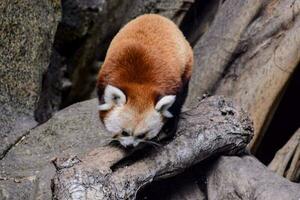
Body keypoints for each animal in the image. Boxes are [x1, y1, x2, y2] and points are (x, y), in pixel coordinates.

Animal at [97, 13, 193, 147]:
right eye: (125, 132)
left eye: (141, 135)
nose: (130, 146)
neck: (139, 83)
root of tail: (155, 15)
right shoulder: (105, 78)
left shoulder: (172, 84)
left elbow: (175, 105)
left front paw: (168, 129)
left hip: (186, 63)